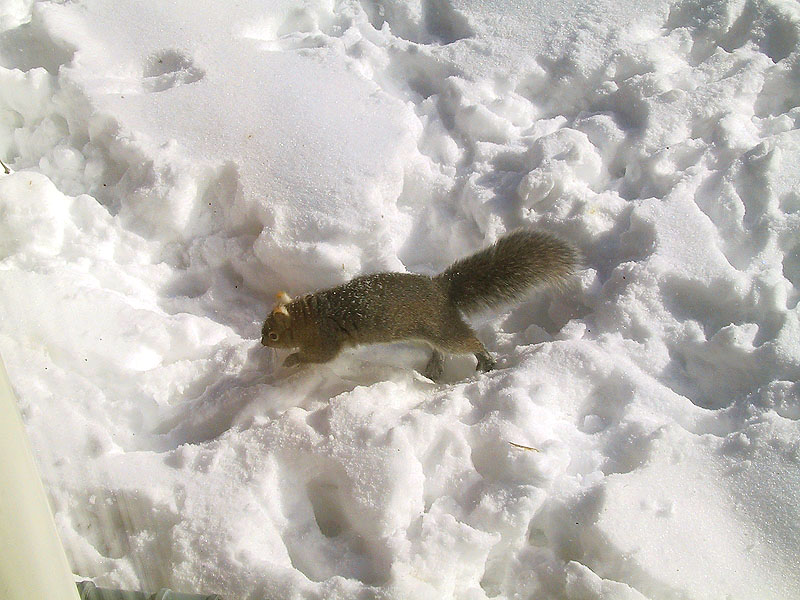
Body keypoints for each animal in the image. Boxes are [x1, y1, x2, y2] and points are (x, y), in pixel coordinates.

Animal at [261, 229, 578, 381]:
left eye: (273, 335)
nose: (262, 343)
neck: (310, 316)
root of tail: (440, 290)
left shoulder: (326, 339)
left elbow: (320, 357)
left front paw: (291, 360)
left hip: (443, 328)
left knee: (468, 341)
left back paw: (485, 360)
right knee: (440, 349)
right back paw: (435, 367)